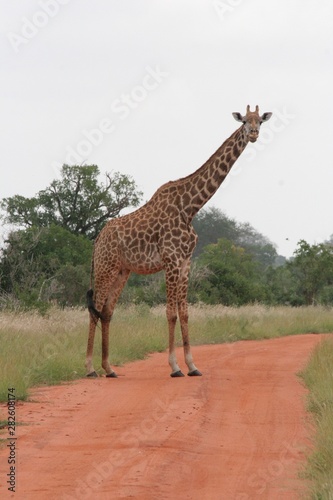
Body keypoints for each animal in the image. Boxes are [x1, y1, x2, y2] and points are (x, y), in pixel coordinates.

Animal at [84, 106, 272, 378]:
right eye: (245, 121)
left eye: (261, 122)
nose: (255, 134)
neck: (190, 208)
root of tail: (97, 239)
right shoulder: (171, 259)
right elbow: (170, 313)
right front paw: (174, 367)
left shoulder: (185, 261)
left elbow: (184, 313)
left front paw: (192, 366)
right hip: (104, 267)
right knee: (94, 309)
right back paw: (90, 368)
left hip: (122, 270)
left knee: (107, 311)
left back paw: (109, 368)